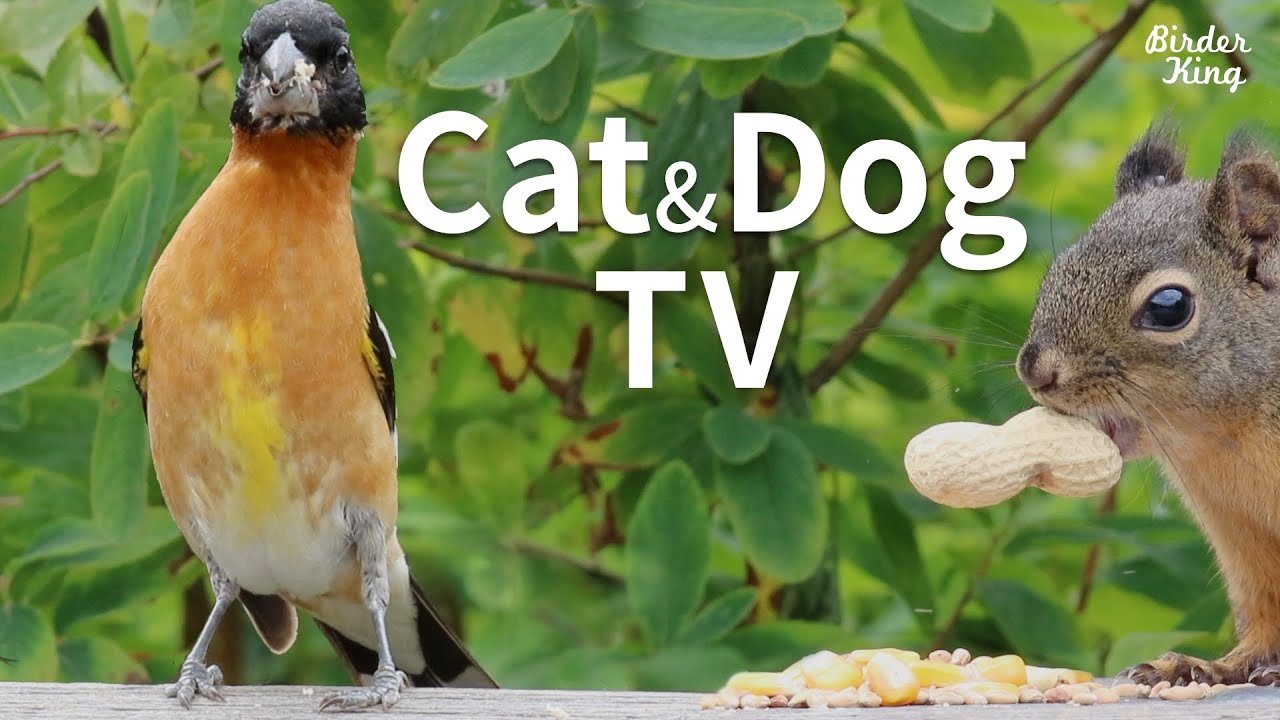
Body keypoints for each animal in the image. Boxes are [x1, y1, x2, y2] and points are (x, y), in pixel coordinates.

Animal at [1016, 125, 1280, 686]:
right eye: (1057, 271)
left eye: (1169, 307)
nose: (1035, 371)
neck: (1230, 438)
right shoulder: (1242, 532)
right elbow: (1265, 615)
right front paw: (1212, 666)